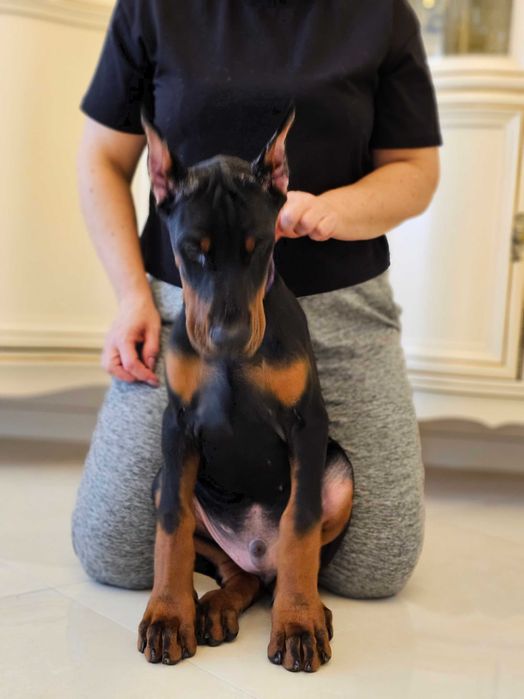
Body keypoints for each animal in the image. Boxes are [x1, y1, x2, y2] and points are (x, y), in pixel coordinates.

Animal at [137, 107, 354, 673]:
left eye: (263, 248)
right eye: (193, 251)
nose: (228, 339)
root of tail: (259, 554)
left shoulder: (306, 424)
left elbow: (301, 523)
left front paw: (297, 623)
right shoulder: (177, 425)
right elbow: (172, 527)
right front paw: (167, 614)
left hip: (340, 473)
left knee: (293, 566)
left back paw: (310, 608)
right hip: (169, 486)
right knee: (242, 576)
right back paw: (214, 606)